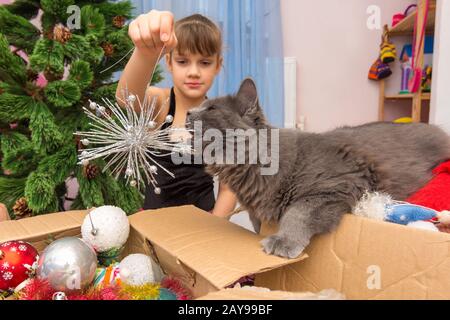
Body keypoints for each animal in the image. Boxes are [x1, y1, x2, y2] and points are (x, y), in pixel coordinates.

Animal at [185, 79, 448, 258]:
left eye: (211, 109)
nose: (187, 112)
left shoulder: (337, 185)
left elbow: (297, 212)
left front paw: (283, 241)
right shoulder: (255, 214)